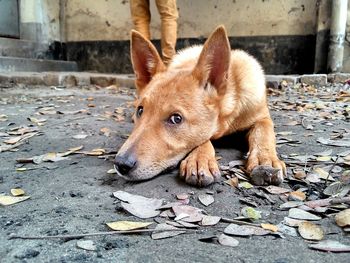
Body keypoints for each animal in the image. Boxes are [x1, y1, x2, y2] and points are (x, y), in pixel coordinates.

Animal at [115, 24, 284, 186]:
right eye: (140, 110)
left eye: (176, 119)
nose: (121, 164)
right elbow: (202, 139)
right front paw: (199, 160)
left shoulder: (262, 117)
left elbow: (263, 133)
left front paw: (265, 159)